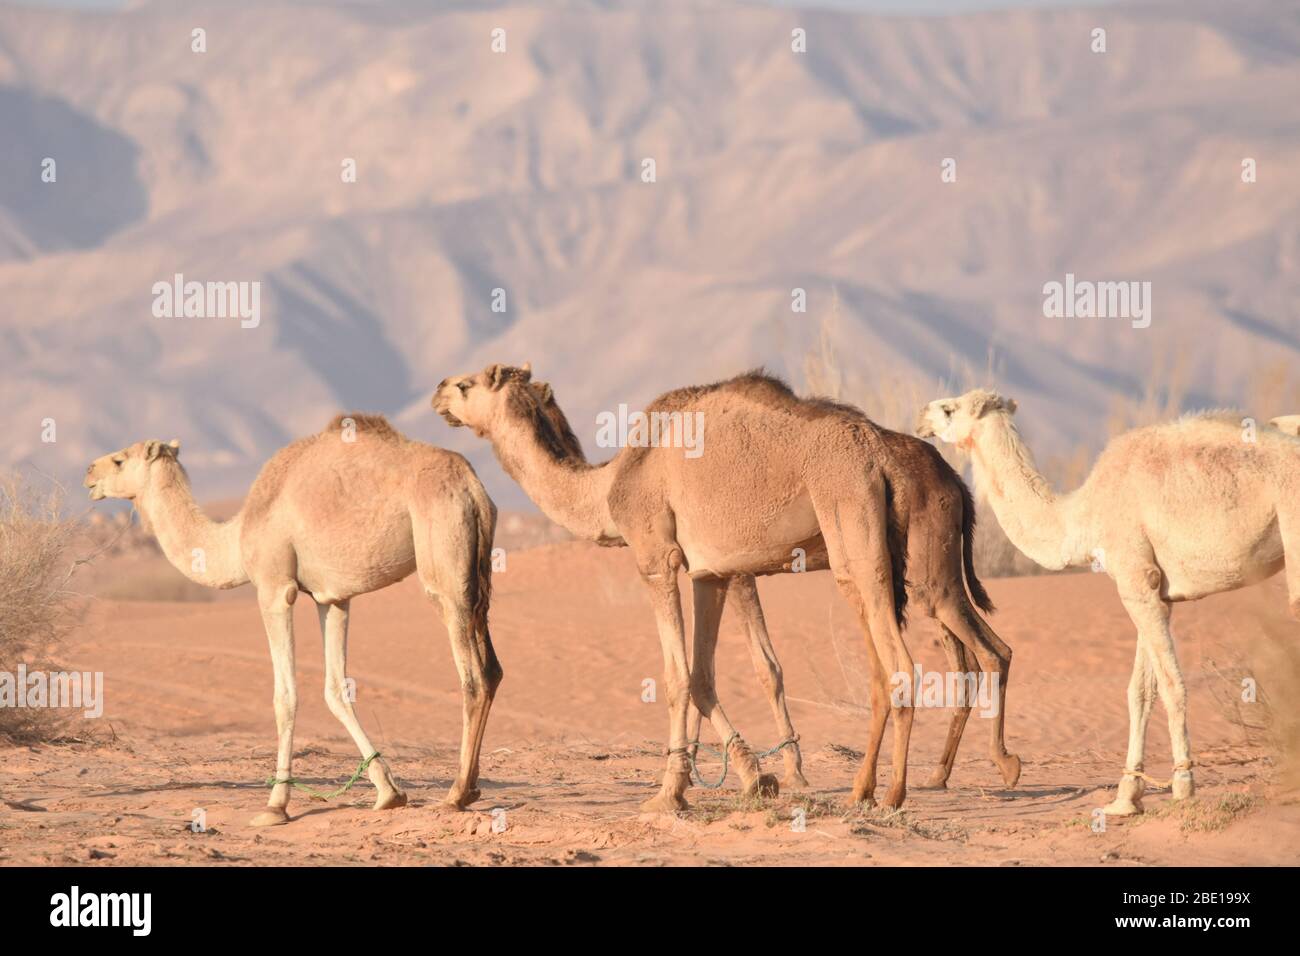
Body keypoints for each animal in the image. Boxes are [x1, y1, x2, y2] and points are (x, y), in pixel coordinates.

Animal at [85, 416, 501, 827]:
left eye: (120, 460)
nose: (89, 472)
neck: (238, 535)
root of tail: (472, 487)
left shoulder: (274, 587)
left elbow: (285, 696)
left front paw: (275, 805)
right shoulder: (332, 598)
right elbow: (336, 690)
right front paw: (389, 793)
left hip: (444, 562)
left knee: (473, 675)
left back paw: (456, 794)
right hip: (476, 574)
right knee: (493, 669)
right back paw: (471, 788)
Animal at [436, 361, 1013, 811]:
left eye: (468, 384)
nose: (439, 390)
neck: (610, 484)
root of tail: (897, 460)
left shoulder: (657, 558)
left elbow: (677, 676)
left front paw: (667, 795)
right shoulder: (709, 572)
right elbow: (702, 675)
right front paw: (750, 777)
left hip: (860, 532)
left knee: (910, 664)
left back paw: (901, 791)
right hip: (914, 569)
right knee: (965, 650)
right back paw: (875, 787)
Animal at [915, 390, 1300, 816]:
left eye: (949, 409)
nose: (921, 417)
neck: (1083, 514)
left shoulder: (1133, 575)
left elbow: (1171, 684)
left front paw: (1183, 786)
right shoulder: (1154, 588)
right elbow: (1140, 691)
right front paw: (1126, 797)